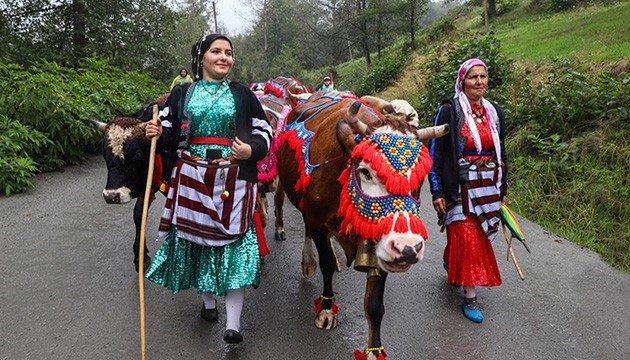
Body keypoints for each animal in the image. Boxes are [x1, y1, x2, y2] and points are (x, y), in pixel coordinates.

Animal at [276, 93, 450, 358]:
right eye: (365, 171)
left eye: (420, 178)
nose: (408, 249)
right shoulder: (318, 221)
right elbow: (326, 264)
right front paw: (326, 308)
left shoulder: (382, 243)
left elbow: (375, 303)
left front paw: (374, 350)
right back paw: (308, 263)